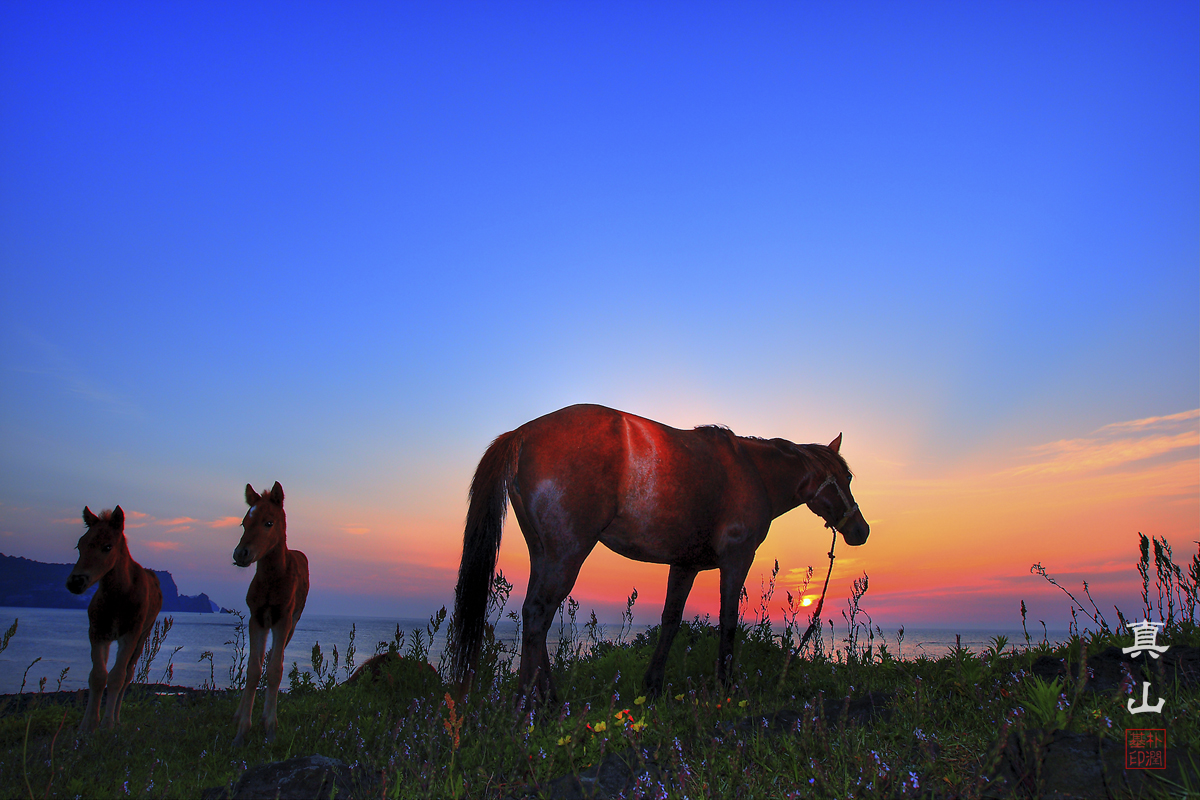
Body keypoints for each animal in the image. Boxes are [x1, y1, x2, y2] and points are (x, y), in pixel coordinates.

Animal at [66, 506, 162, 734]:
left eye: (107, 546)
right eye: (80, 545)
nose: (76, 582)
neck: (118, 597)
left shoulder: (131, 634)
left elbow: (117, 676)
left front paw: (108, 723)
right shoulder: (97, 632)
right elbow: (97, 676)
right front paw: (88, 724)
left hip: (143, 636)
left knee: (128, 674)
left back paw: (117, 719)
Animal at [230, 484, 309, 748]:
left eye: (268, 522)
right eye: (244, 523)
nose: (241, 554)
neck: (272, 581)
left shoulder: (283, 620)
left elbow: (275, 670)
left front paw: (270, 728)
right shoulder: (256, 618)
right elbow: (253, 669)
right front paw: (241, 730)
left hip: (292, 624)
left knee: (277, 657)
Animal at [451, 407, 873, 705]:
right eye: (845, 479)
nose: (861, 530)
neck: (752, 470)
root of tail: (522, 433)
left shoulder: (684, 565)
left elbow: (670, 621)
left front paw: (653, 686)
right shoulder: (737, 559)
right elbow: (729, 621)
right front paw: (726, 685)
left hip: (544, 555)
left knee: (533, 615)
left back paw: (545, 700)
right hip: (565, 556)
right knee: (539, 614)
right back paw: (531, 706)